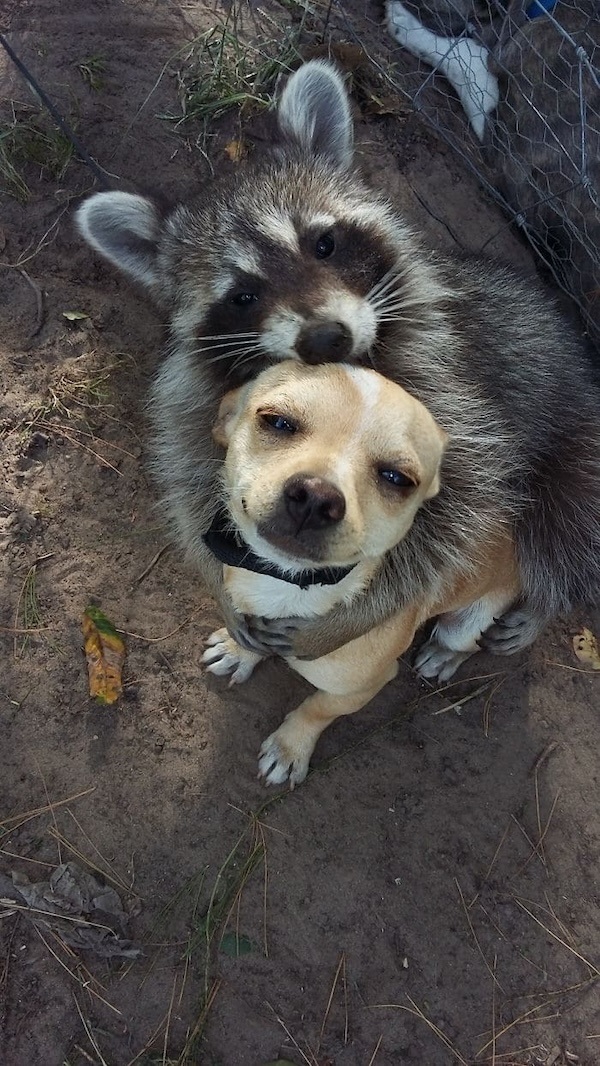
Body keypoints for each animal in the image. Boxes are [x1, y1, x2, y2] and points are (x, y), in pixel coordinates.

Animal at [76, 60, 600, 666]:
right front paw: (224, 592)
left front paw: (355, 617)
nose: (325, 338)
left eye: (323, 244)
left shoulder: (453, 387)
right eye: (243, 296)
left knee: (564, 531)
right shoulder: (196, 394)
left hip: (576, 448)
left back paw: (540, 607)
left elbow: (450, 523)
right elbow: (191, 478)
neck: (348, 372)